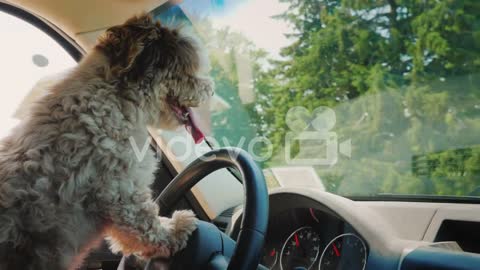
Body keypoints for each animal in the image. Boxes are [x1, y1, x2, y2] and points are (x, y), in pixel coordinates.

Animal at [0, 14, 212, 270]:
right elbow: (146, 225)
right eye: (188, 71)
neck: (113, 99)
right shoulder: (120, 191)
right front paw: (175, 228)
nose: (210, 89)